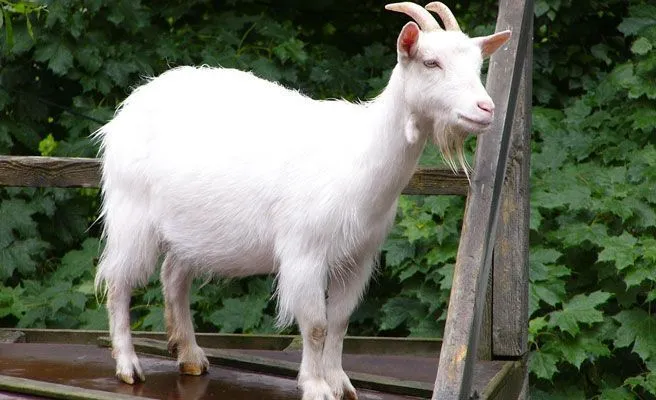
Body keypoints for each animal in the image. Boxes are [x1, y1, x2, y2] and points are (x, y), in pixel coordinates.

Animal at [95, 3, 510, 400]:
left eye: (478, 65)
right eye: (430, 62)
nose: (486, 109)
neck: (359, 155)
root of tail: (131, 105)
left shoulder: (358, 258)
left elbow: (339, 322)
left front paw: (340, 382)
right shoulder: (304, 252)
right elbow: (315, 325)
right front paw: (315, 386)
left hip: (189, 229)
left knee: (174, 277)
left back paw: (191, 356)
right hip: (130, 213)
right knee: (117, 282)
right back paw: (128, 365)